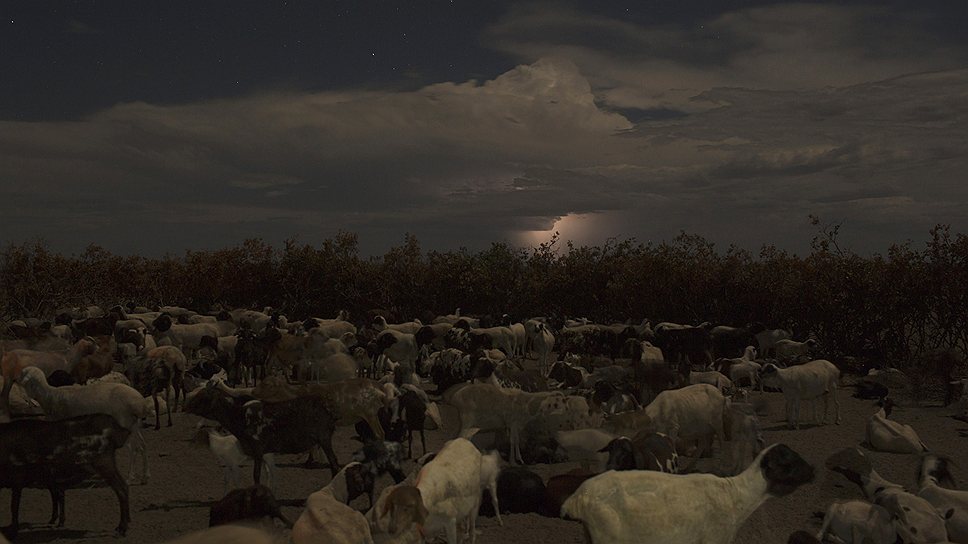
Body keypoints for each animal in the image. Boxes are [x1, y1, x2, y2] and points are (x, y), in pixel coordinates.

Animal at [0, 412, 130, 540]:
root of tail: (118, 429)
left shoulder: (17, 478)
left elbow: (14, 506)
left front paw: (13, 531)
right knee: (124, 486)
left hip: (104, 463)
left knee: (121, 489)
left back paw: (122, 529)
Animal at [17, 366, 149, 484]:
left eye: (23, 373)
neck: (50, 395)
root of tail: (140, 403)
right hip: (134, 424)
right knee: (142, 445)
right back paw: (144, 476)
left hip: (125, 423)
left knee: (133, 448)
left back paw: (130, 477)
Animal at [560, 444, 816, 544]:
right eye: (789, 462)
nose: (814, 471)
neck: (737, 495)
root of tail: (576, 498)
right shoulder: (713, 540)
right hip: (608, 537)